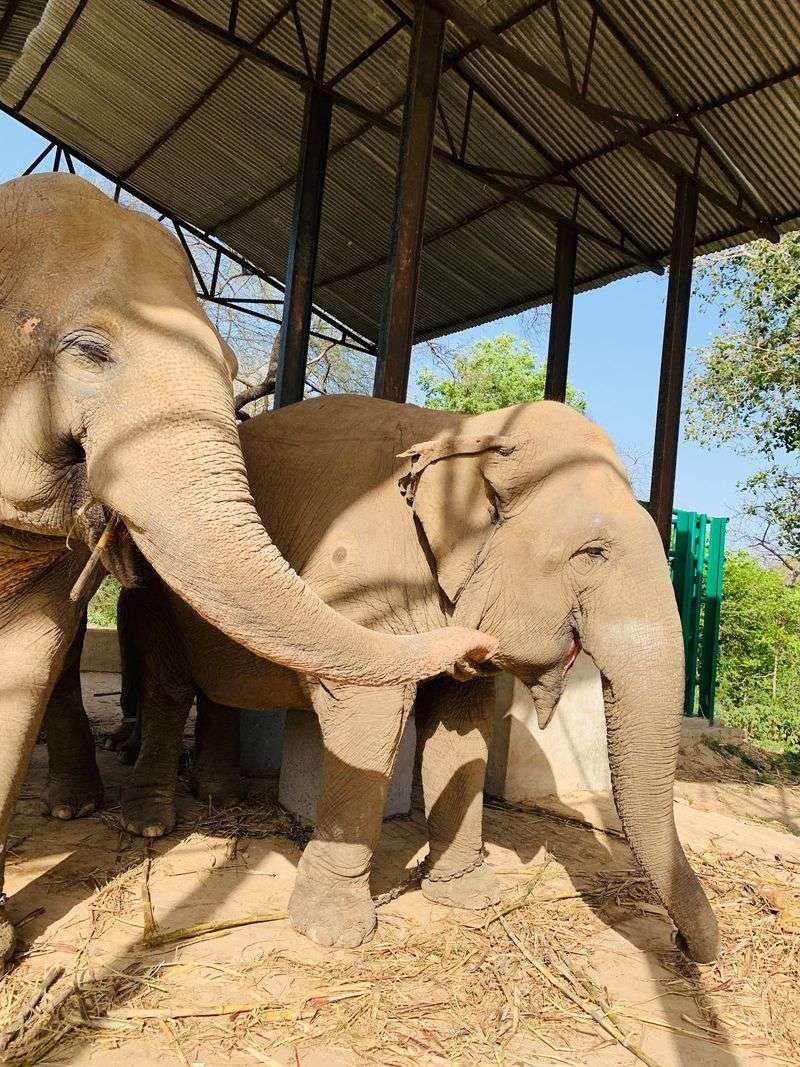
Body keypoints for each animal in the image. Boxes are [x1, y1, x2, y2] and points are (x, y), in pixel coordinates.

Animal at [48, 392, 720, 962]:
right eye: (593, 554)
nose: (684, 948)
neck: (468, 430)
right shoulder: (365, 580)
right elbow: (370, 715)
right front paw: (332, 932)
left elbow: (463, 726)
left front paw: (471, 897)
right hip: (157, 582)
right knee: (170, 686)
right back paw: (149, 821)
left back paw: (220, 796)